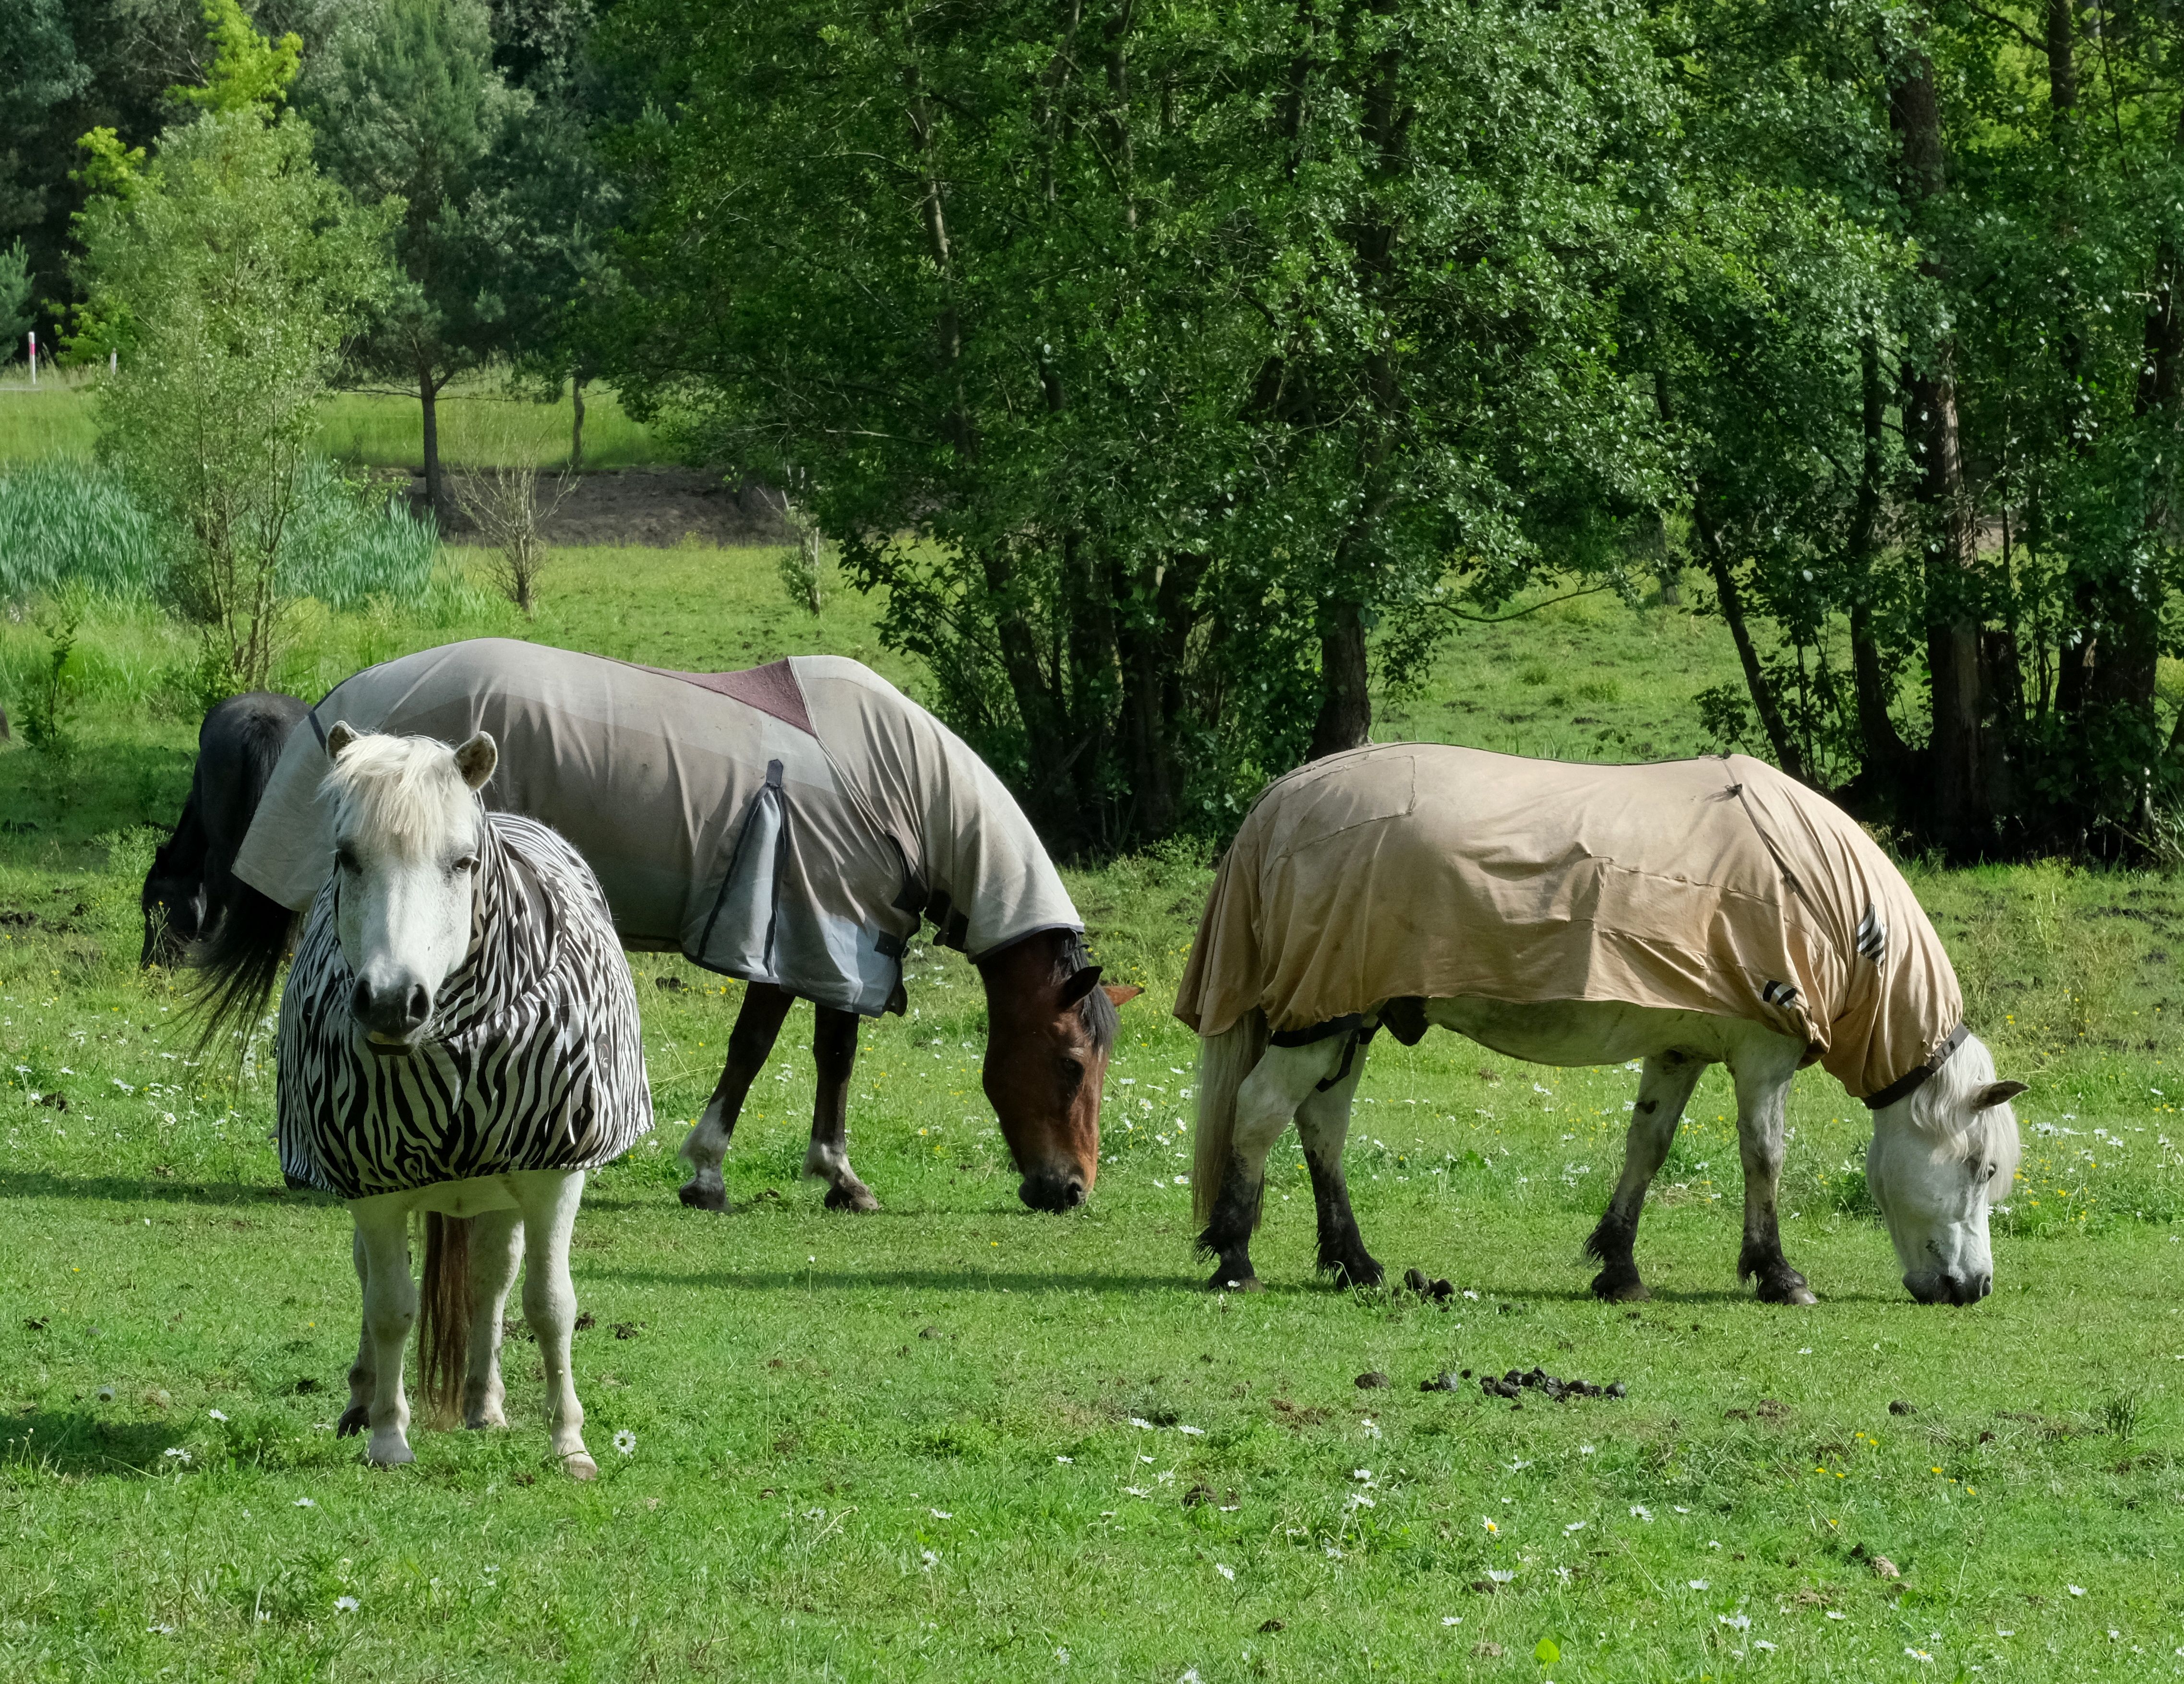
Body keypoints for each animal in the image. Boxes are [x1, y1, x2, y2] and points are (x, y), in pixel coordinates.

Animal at [198, 724, 650, 1474]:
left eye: (462, 863)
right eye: (346, 858)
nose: (390, 1002)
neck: (456, 1046)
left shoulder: (553, 1173)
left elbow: (550, 1304)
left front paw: (569, 1443)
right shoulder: (374, 1182)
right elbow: (390, 1307)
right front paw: (387, 1437)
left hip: (502, 1195)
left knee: (492, 1283)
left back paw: (485, 1403)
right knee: (376, 1280)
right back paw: (363, 1400)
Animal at [221, 639, 1139, 1216]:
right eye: (1069, 1063)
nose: (1070, 1190)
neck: (901, 784)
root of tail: (342, 708)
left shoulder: (845, 939)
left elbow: (830, 1054)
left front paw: (831, 1176)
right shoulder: (806, 931)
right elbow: (761, 1049)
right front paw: (716, 1172)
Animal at [1177, 745, 2026, 1306]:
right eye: (1980, 1168)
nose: (1974, 1287)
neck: (1831, 903)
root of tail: (1280, 800)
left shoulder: (1679, 1049)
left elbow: (1646, 1147)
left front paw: (1618, 1269)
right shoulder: (1763, 1055)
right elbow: (1764, 1157)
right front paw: (1777, 1274)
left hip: (1347, 1019)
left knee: (1321, 1126)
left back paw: (1354, 1262)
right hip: (1320, 1020)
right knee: (1260, 1115)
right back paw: (1235, 1259)